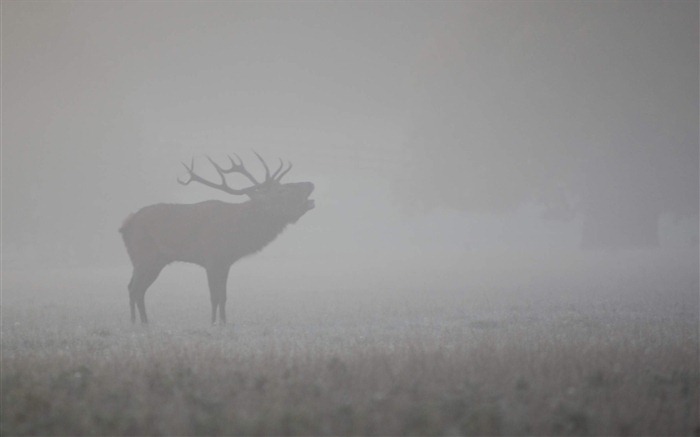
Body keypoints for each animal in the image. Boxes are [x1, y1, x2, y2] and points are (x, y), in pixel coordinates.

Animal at [120, 152, 314, 324]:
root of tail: (125, 225)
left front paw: (224, 322)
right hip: (144, 257)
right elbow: (214, 296)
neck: (237, 234)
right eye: (282, 190)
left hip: (152, 261)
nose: (310, 183)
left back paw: (142, 322)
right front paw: (213, 323)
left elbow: (223, 296)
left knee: (136, 288)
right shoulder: (212, 259)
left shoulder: (225, 262)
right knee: (134, 288)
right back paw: (136, 323)